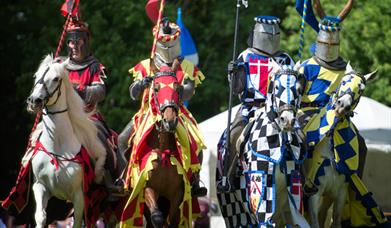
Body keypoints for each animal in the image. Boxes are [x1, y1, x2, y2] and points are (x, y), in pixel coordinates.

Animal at [26, 54, 106, 228]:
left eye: (56, 79)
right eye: (36, 75)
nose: (34, 101)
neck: (57, 145)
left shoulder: (79, 195)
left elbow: (77, 222)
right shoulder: (41, 186)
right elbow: (40, 216)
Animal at [144, 68, 185, 227]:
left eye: (177, 88)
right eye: (156, 88)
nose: (170, 121)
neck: (163, 151)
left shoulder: (177, 194)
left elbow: (173, 220)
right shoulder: (148, 187)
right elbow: (156, 217)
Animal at [304, 63, 378, 228]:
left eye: (361, 89)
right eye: (343, 81)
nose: (342, 106)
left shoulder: (340, 194)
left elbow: (336, 220)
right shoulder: (314, 191)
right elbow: (314, 222)